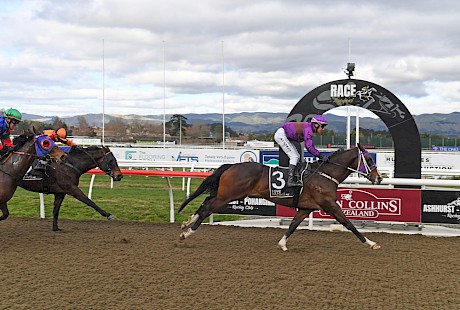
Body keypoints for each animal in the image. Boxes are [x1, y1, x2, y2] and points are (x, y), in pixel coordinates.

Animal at [178, 144, 382, 251]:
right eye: (369, 160)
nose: (379, 178)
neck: (324, 175)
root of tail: (231, 166)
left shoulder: (306, 208)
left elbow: (293, 225)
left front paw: (282, 244)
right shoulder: (330, 204)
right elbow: (349, 224)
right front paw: (371, 243)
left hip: (223, 193)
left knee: (205, 203)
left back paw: (187, 223)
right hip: (228, 196)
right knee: (207, 208)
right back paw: (187, 232)